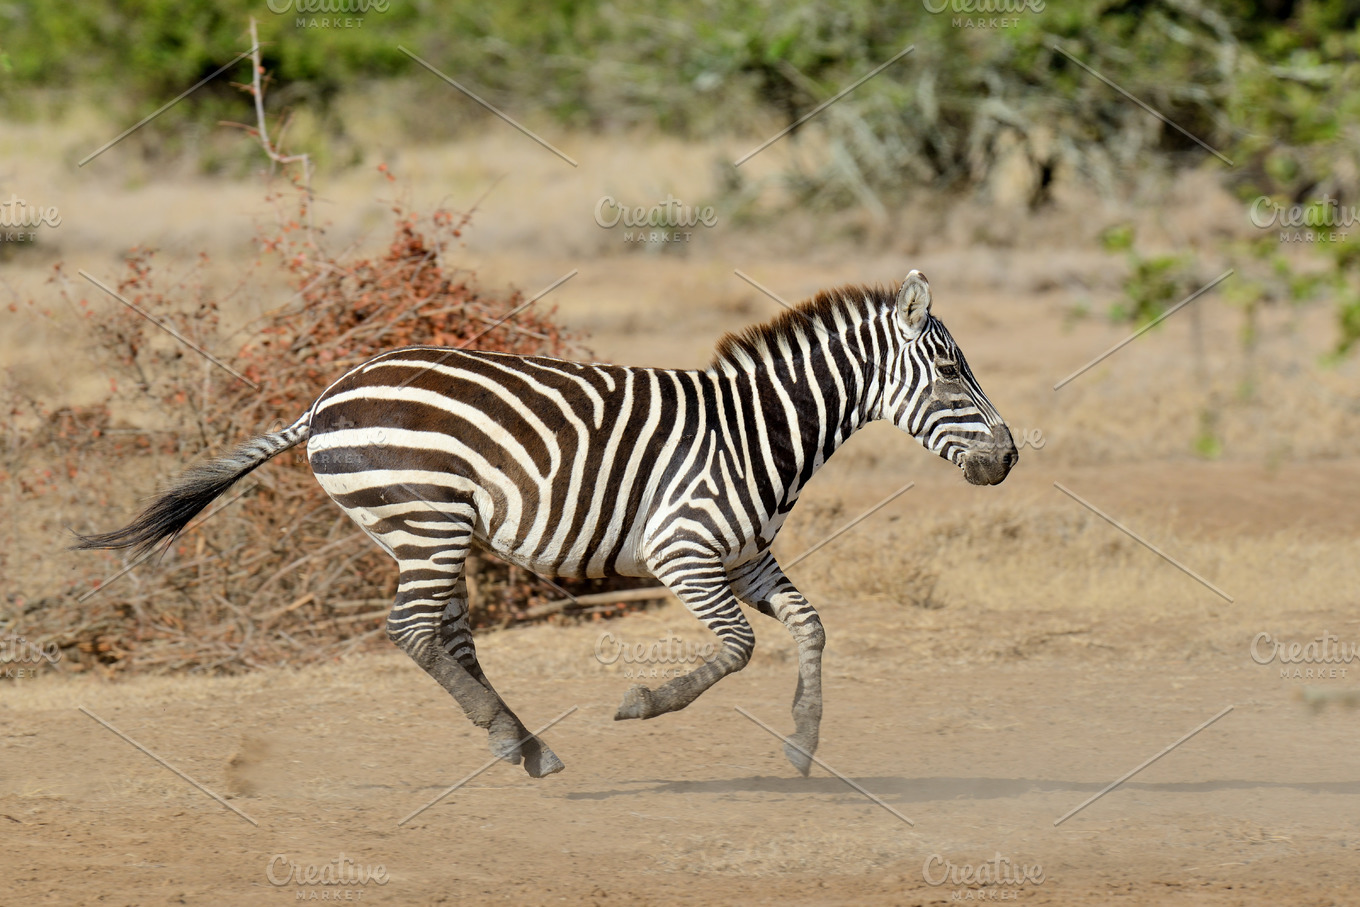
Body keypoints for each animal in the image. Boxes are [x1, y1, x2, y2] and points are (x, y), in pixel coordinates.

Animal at [74, 269, 1011, 783]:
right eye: (949, 370)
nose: (1007, 458)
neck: (758, 429)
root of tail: (327, 396)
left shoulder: (745, 557)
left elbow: (811, 627)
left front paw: (804, 745)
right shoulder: (683, 550)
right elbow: (740, 647)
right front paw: (646, 701)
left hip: (420, 531)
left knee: (445, 633)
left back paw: (523, 743)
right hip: (426, 517)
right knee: (413, 630)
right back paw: (509, 738)